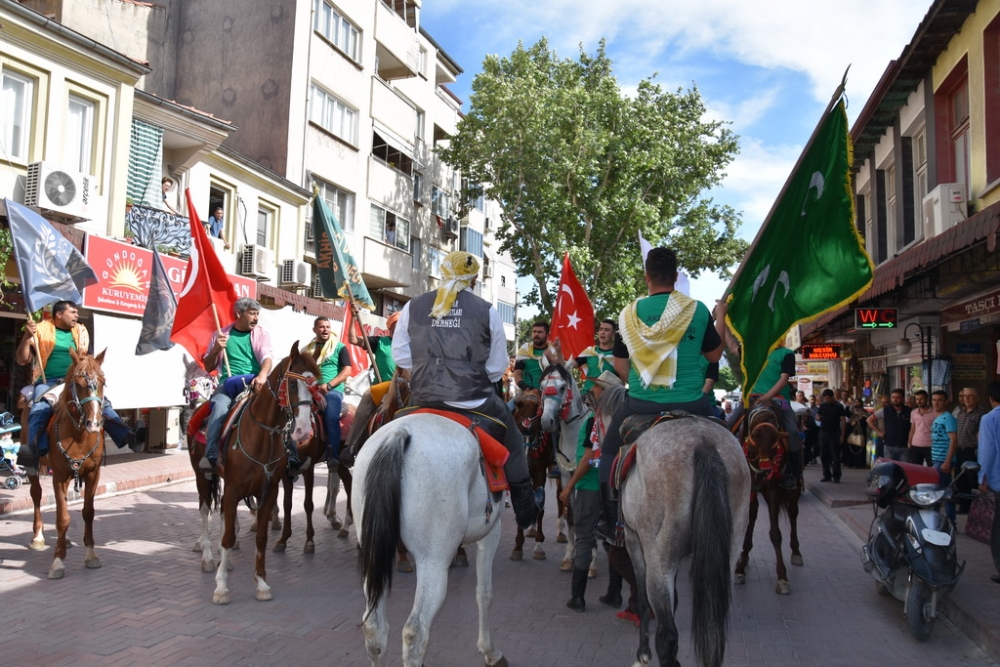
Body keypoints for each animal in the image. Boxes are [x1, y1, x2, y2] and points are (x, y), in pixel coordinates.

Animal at [25, 350, 107, 580]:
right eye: (78, 384)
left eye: (102, 382)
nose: (94, 423)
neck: (79, 436)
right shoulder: (59, 476)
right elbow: (62, 517)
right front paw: (58, 562)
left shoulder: (92, 474)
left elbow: (88, 512)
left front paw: (91, 554)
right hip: (33, 466)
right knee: (37, 495)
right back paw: (38, 536)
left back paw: (67, 539)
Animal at [212, 344, 318, 604]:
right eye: (293, 384)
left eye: (315, 387)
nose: (304, 431)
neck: (261, 435)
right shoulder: (233, 488)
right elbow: (228, 537)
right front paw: (221, 588)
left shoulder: (268, 491)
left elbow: (261, 536)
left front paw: (261, 583)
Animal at [352, 414, 508, 664]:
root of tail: (399, 432)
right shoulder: (492, 531)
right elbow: (484, 592)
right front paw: (490, 652)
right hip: (433, 562)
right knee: (415, 631)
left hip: (372, 554)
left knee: (374, 628)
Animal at [736, 404, 804, 596]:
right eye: (755, 436)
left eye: (775, 438)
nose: (766, 471)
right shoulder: (750, 490)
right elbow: (748, 524)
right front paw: (740, 568)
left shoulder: (773, 491)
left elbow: (775, 534)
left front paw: (782, 578)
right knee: (753, 517)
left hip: (795, 488)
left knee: (793, 513)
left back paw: (796, 552)